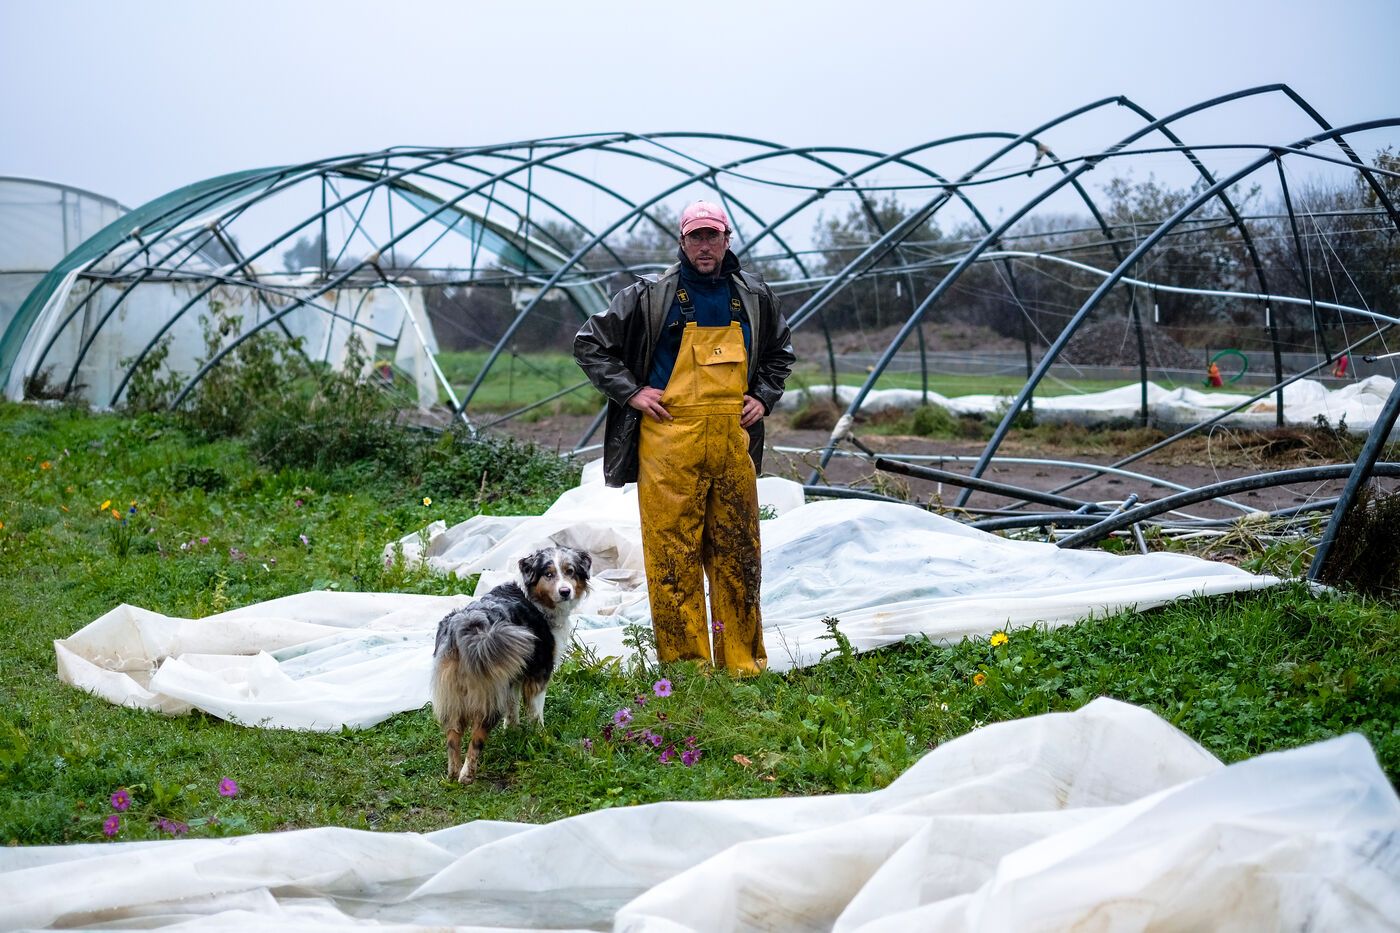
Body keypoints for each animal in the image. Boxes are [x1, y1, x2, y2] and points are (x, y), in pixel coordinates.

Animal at [430, 546, 592, 784]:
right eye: (548, 574)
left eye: (570, 571)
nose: (565, 591)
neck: (535, 598)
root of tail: (467, 626)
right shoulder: (539, 672)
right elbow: (535, 710)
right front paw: (539, 735)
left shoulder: (512, 672)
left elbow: (512, 705)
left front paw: (512, 731)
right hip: (488, 697)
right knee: (475, 741)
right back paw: (467, 776)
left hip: (453, 695)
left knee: (452, 736)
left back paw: (452, 774)